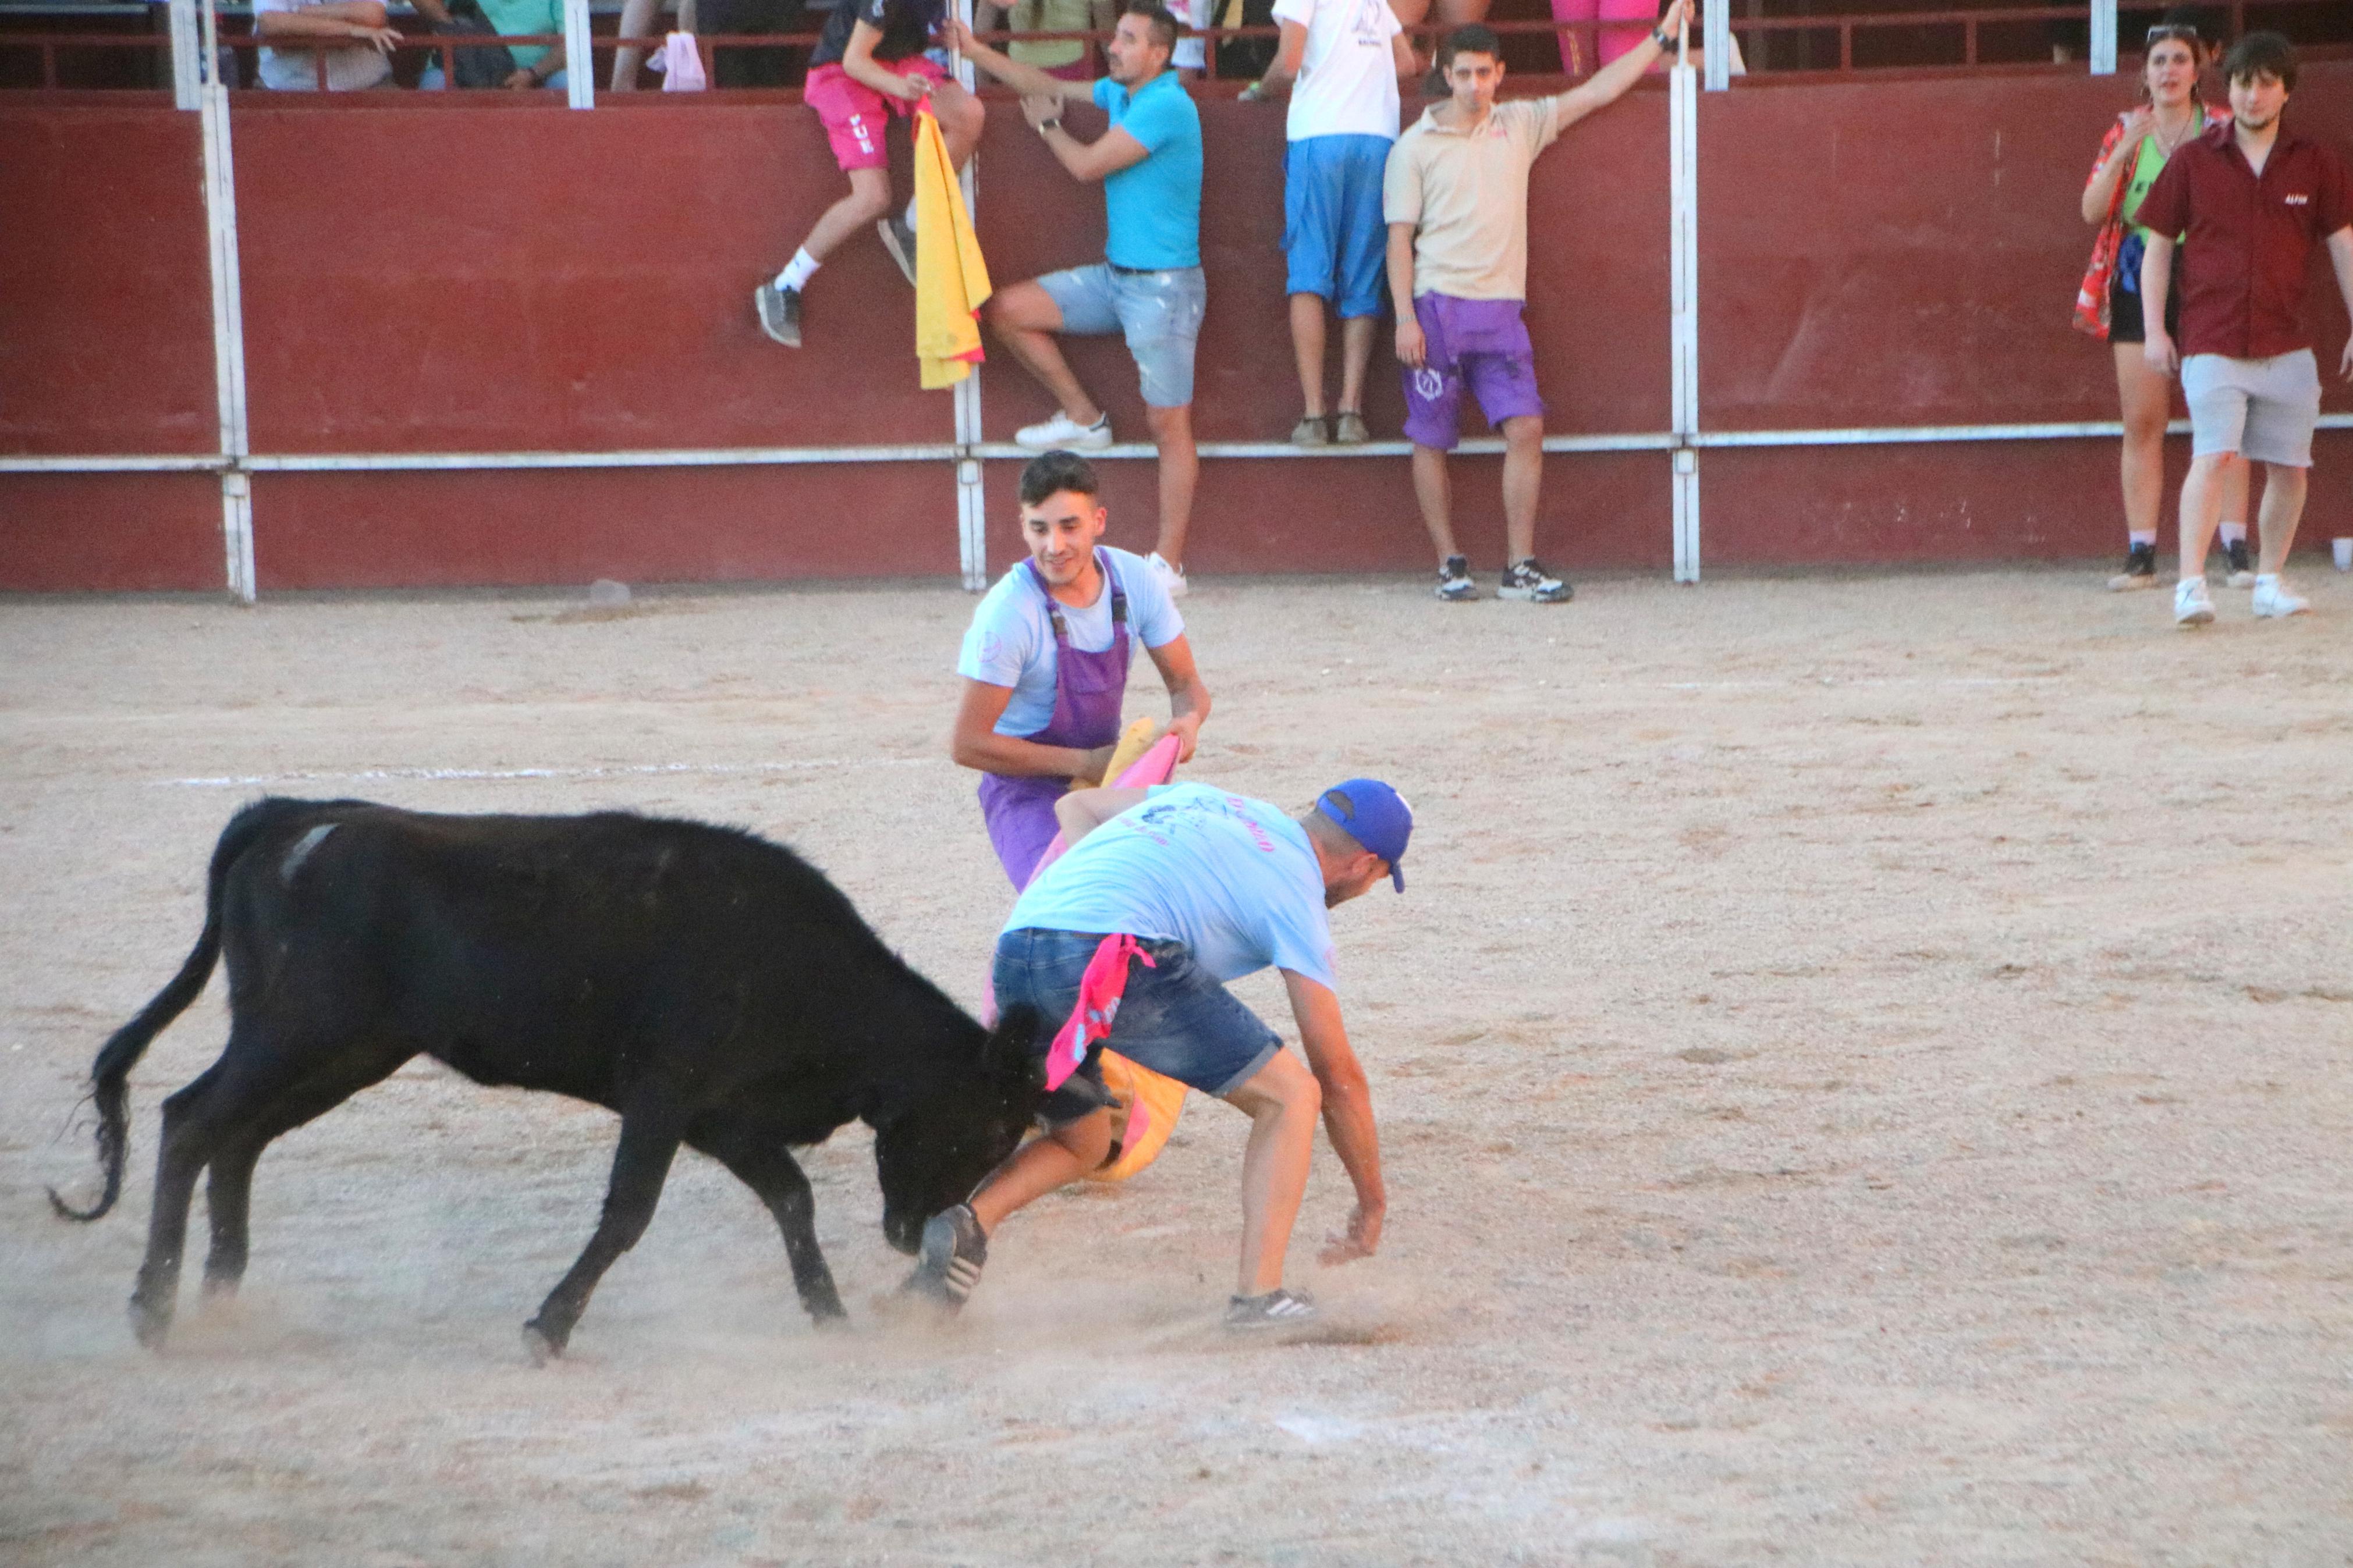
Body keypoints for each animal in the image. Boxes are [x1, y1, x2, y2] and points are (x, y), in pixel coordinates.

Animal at [50, 803, 1045, 1354]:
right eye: (991, 1128)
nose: (914, 1233)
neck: (798, 969)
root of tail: (292, 818)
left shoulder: (722, 1115)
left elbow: (789, 1197)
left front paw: (831, 1316)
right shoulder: (665, 1093)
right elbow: (630, 1210)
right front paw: (549, 1326)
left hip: (343, 1050)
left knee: (238, 1135)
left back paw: (219, 1299)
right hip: (298, 1032)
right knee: (192, 1119)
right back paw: (155, 1307)